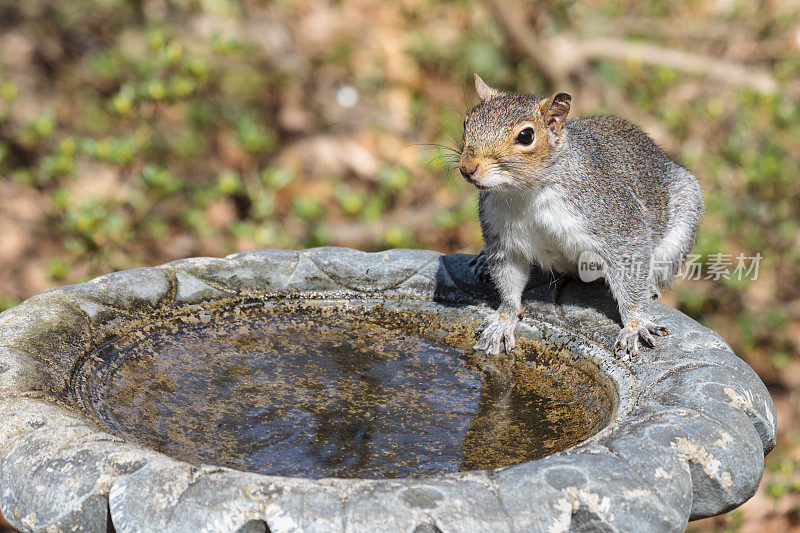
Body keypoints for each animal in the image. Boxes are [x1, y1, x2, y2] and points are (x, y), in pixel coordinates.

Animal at [460, 74, 704, 358]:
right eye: (467, 121)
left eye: (526, 136)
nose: (467, 167)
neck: (528, 193)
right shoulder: (503, 238)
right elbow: (509, 280)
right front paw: (504, 319)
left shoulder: (614, 219)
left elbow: (630, 262)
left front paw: (635, 324)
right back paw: (481, 260)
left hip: (682, 219)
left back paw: (651, 287)